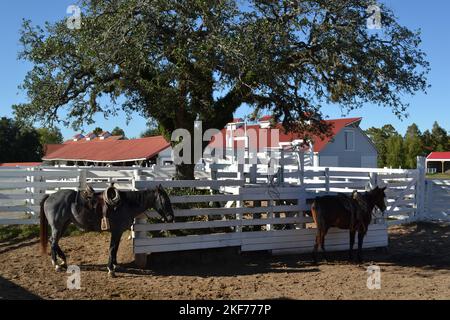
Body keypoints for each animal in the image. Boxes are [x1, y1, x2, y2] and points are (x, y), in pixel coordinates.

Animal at [40, 184, 174, 276]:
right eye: (164, 200)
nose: (171, 218)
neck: (125, 205)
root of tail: (50, 196)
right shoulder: (116, 232)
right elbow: (112, 248)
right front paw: (111, 269)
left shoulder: (118, 233)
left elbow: (115, 249)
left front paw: (115, 266)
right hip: (57, 226)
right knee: (53, 242)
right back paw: (56, 265)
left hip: (64, 225)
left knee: (53, 241)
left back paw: (63, 261)